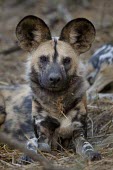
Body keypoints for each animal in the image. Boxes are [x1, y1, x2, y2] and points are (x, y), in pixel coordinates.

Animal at [0, 15, 100, 161]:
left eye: (67, 60)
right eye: (43, 59)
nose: (54, 78)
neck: (56, 101)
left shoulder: (79, 133)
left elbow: (87, 146)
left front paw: (92, 153)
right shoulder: (43, 133)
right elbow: (35, 143)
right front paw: (28, 155)